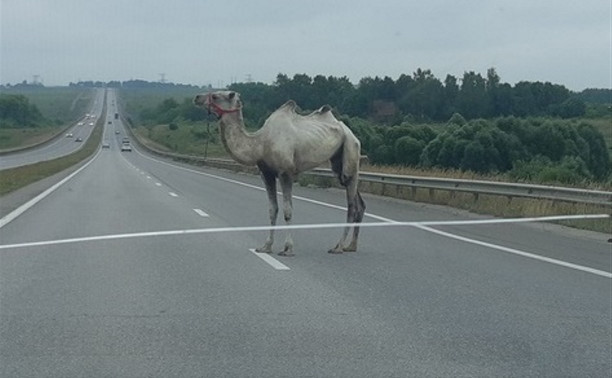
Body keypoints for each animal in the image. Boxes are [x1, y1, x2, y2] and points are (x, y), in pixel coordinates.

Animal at [194, 91, 366, 255]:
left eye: (215, 96)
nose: (197, 97)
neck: (260, 144)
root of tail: (352, 134)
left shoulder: (286, 172)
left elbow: (287, 210)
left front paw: (288, 248)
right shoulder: (266, 173)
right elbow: (272, 209)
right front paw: (266, 246)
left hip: (351, 149)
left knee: (351, 204)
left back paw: (338, 247)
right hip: (338, 161)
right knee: (358, 202)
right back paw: (351, 246)